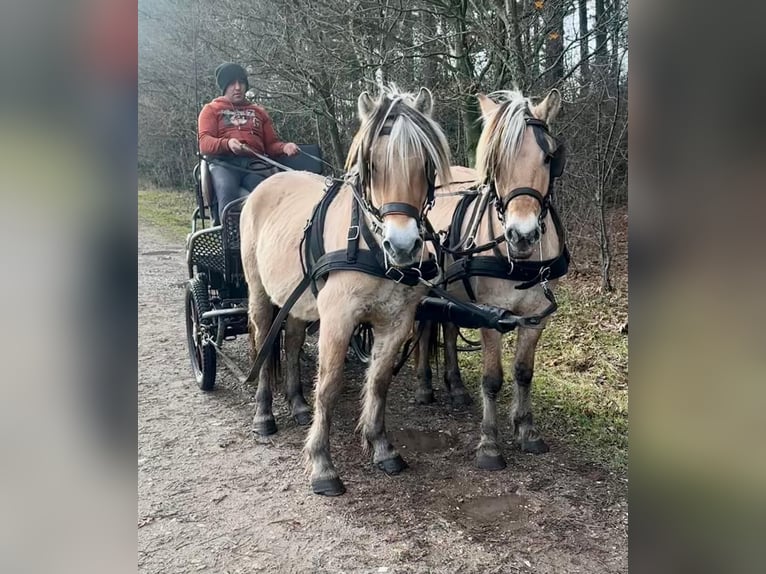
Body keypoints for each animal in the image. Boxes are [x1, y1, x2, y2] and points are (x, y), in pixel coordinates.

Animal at [243, 88, 452, 498]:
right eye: (371, 165)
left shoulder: (397, 321)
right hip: (259, 291)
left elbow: (380, 380)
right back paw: (264, 414)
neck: (372, 246)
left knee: (292, 341)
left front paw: (382, 446)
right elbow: (329, 386)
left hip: (298, 300)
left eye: (426, 164)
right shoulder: (338, 318)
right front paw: (322, 465)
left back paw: (297, 405)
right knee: (264, 343)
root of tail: (266, 184)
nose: (402, 246)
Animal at [416, 88, 568, 470]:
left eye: (549, 158)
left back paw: (455, 387)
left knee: (448, 329)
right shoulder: (490, 316)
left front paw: (526, 430)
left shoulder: (535, 317)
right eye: (495, 162)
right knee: (424, 329)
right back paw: (424, 386)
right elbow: (492, 379)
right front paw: (489, 444)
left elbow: (524, 373)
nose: (522, 235)